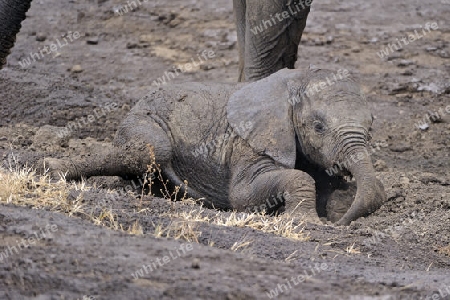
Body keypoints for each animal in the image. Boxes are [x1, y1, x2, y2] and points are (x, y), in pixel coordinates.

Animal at [45, 68, 386, 225]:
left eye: (371, 127)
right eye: (318, 127)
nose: (340, 224)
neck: (293, 81)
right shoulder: (249, 141)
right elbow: (242, 195)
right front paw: (306, 222)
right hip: (144, 122)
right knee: (150, 151)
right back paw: (51, 167)